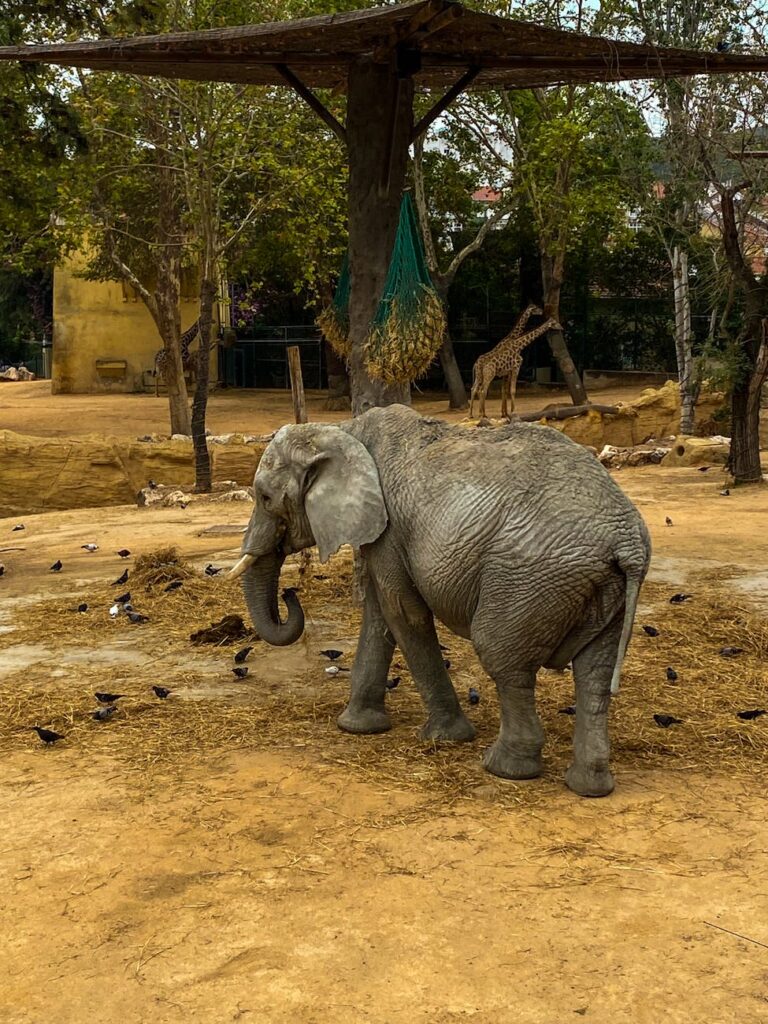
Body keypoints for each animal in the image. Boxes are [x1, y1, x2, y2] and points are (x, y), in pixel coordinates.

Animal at [230, 404, 651, 797]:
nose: (290, 593)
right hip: (601, 590)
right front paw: (357, 728)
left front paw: (444, 737)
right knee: (595, 673)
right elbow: (379, 614)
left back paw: (504, 768)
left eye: (265, 497)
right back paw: (590, 786)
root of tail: (626, 541)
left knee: (503, 659)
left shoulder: (389, 528)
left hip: (529, 577)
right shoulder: (383, 533)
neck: (343, 430)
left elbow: (403, 613)